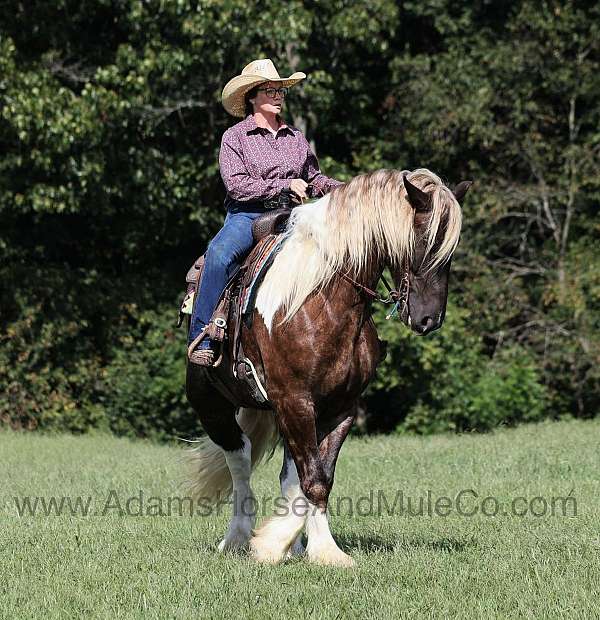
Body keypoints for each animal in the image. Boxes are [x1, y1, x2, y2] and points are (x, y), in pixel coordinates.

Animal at [185, 168, 472, 568]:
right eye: (421, 241)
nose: (429, 319)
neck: (322, 299)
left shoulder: (339, 409)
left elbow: (318, 479)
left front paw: (311, 547)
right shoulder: (294, 401)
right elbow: (311, 479)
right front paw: (289, 547)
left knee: (287, 472)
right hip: (213, 406)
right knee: (239, 459)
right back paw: (238, 538)